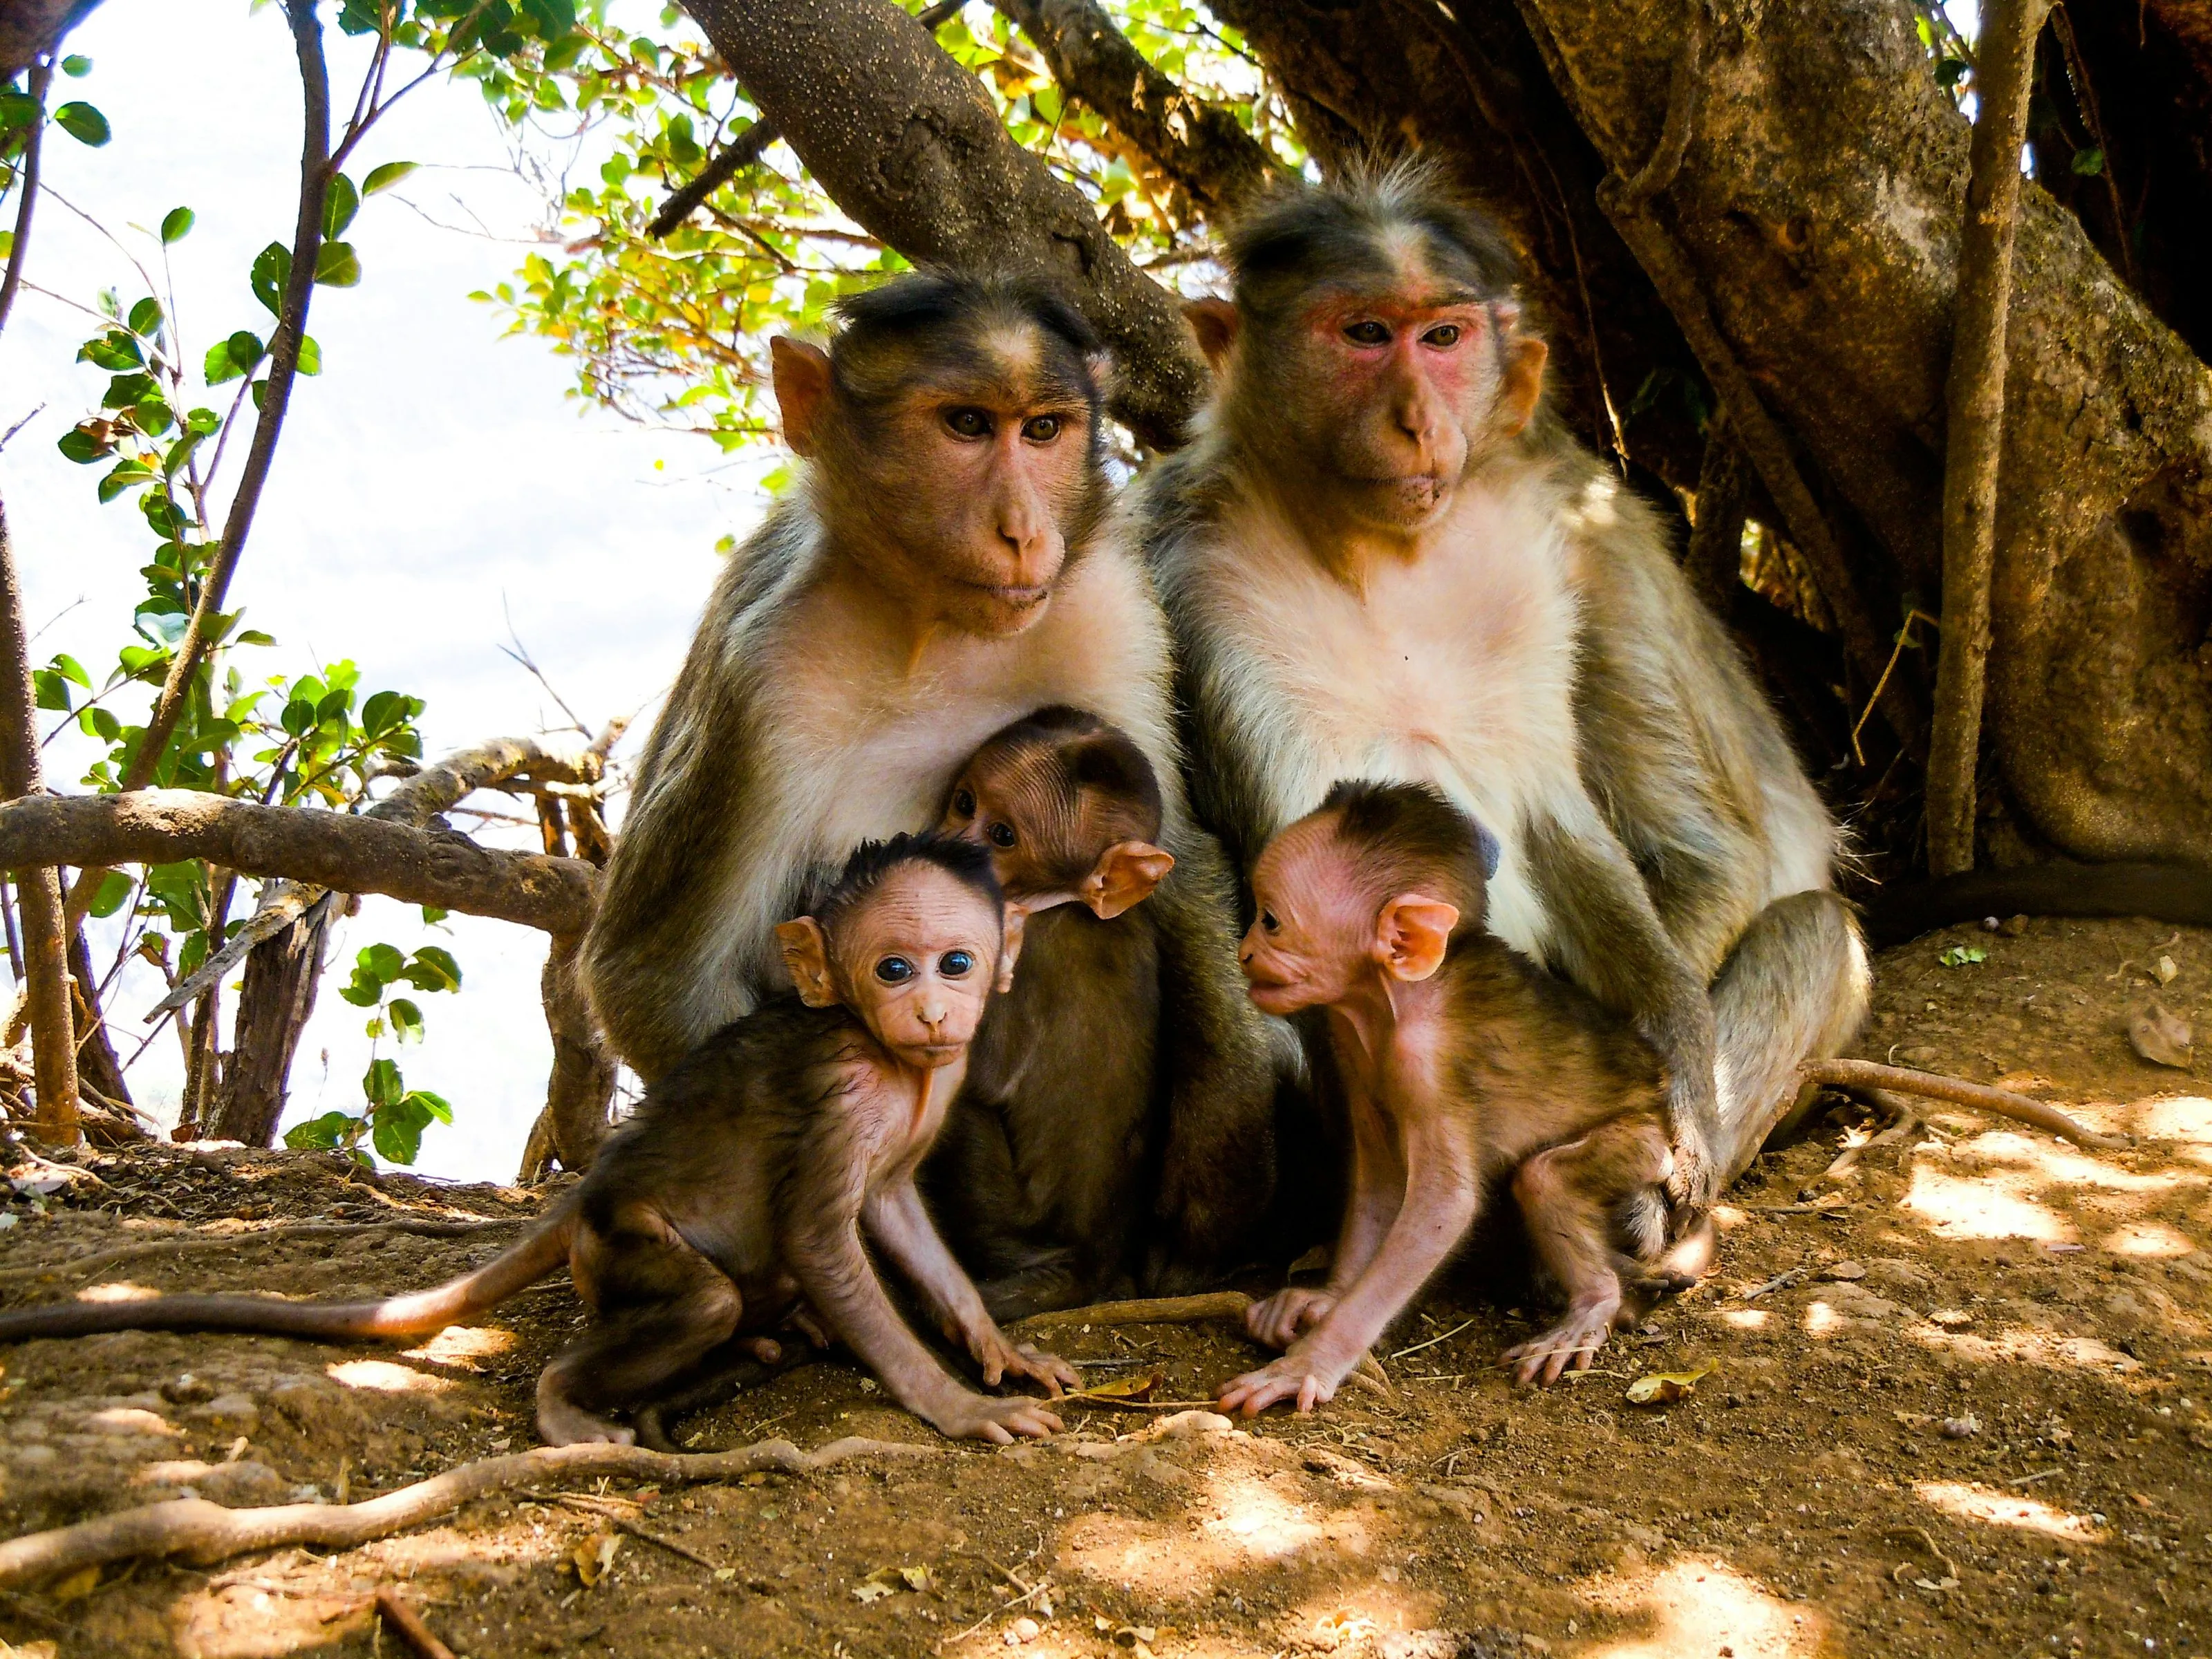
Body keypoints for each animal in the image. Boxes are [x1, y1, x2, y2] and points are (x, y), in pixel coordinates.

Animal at [0, 837, 1079, 1447]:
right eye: (893, 967)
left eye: (956, 962)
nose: (933, 1010)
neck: (894, 1061)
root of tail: (583, 1202)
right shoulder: (844, 1095)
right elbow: (822, 1240)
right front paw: (957, 1406)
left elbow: (895, 1218)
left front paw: (994, 1347)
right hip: (619, 1247)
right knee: (701, 1298)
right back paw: (569, 1400)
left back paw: (761, 1337)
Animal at [922, 705, 1178, 1319]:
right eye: (964, 803)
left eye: (1002, 836)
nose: (950, 847)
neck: (1065, 902)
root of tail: (1086, 1265)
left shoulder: (1016, 946)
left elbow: (983, 1076)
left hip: (1006, 1222)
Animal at [1140, 164, 1871, 1211]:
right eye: (1364, 333)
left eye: (1443, 339)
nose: (1416, 418)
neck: (1382, 555)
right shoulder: (1190, 567)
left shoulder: (1564, 543)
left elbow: (1592, 827)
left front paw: (1672, 1088)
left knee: (1812, 929)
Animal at [1218, 781, 1715, 1415]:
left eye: (1272, 921)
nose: (1245, 951)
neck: (1397, 999)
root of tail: (1658, 1097)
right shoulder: (1351, 1040)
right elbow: (1380, 1180)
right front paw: (1326, 1299)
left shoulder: (1428, 1064)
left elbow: (1444, 1205)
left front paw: (1312, 1361)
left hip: (1643, 1142)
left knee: (1545, 1179)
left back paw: (1593, 1306)